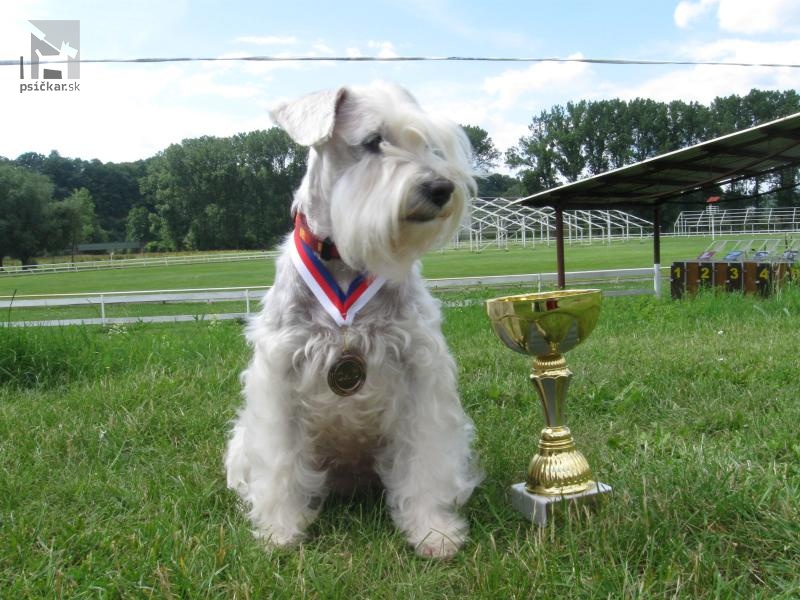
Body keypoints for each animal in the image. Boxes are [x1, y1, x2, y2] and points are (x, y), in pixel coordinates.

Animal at [225, 81, 482, 556]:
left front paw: (432, 530)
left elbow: (424, 459)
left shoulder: (420, 375)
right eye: (372, 141)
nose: (440, 187)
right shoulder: (280, 378)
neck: (345, 264)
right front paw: (281, 530)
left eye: (425, 143)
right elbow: (281, 461)